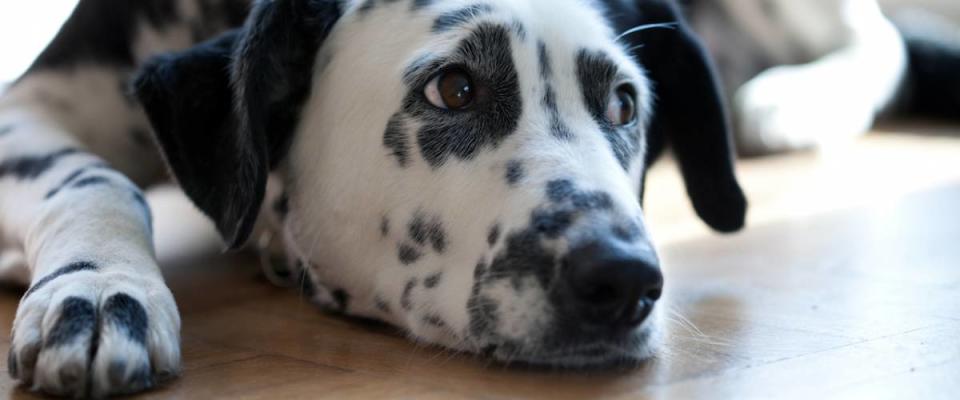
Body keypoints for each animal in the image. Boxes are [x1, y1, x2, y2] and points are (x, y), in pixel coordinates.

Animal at [0, 0, 748, 396]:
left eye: (624, 103)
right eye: (455, 88)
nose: (623, 278)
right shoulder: (28, 104)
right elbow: (97, 178)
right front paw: (99, 289)